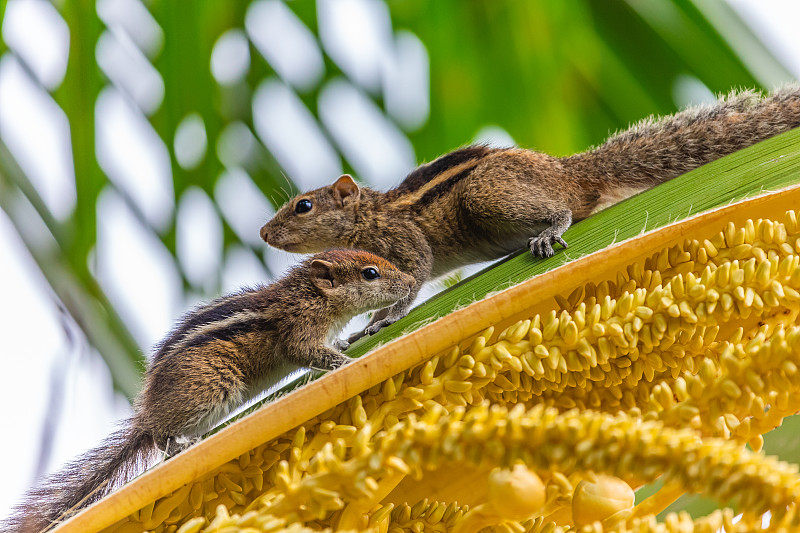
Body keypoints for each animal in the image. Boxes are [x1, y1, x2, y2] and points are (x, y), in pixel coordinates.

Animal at [9, 249, 416, 532]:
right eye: (371, 272)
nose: (412, 282)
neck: (310, 295)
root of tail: (146, 414)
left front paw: (350, 341)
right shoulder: (298, 331)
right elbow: (308, 354)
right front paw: (347, 362)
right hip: (214, 388)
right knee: (161, 437)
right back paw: (181, 444)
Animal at [262, 84, 800, 338]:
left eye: (303, 206)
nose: (265, 233)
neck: (371, 215)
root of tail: (570, 171)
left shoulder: (404, 243)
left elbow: (412, 278)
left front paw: (378, 322)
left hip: (487, 195)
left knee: (563, 209)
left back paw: (547, 231)